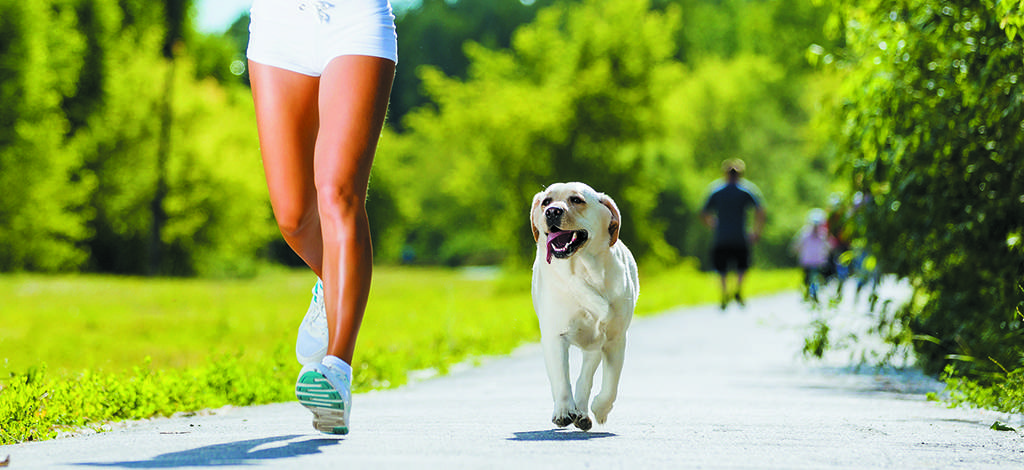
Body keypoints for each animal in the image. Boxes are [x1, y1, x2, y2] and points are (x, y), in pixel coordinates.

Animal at [532, 183, 634, 430]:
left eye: (577, 200)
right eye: (546, 202)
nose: (552, 212)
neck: (583, 269)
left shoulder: (615, 339)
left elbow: (611, 385)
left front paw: (600, 409)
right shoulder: (554, 335)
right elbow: (561, 378)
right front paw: (563, 410)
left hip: (594, 345)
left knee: (585, 378)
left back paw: (583, 413)